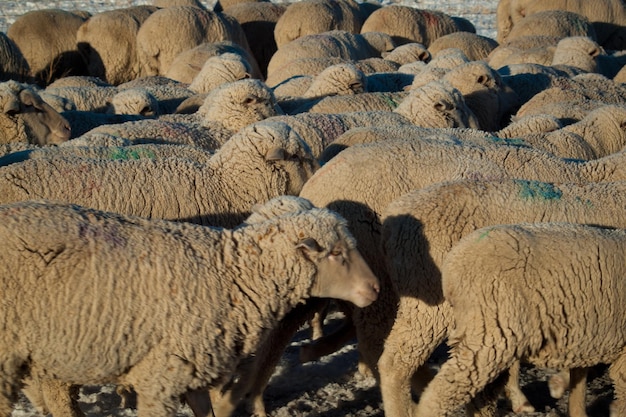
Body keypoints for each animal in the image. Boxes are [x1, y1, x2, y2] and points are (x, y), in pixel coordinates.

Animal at [414, 219, 624, 414]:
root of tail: (451, 266)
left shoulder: (588, 335)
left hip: (490, 338)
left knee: (481, 397)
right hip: (490, 337)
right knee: (440, 393)